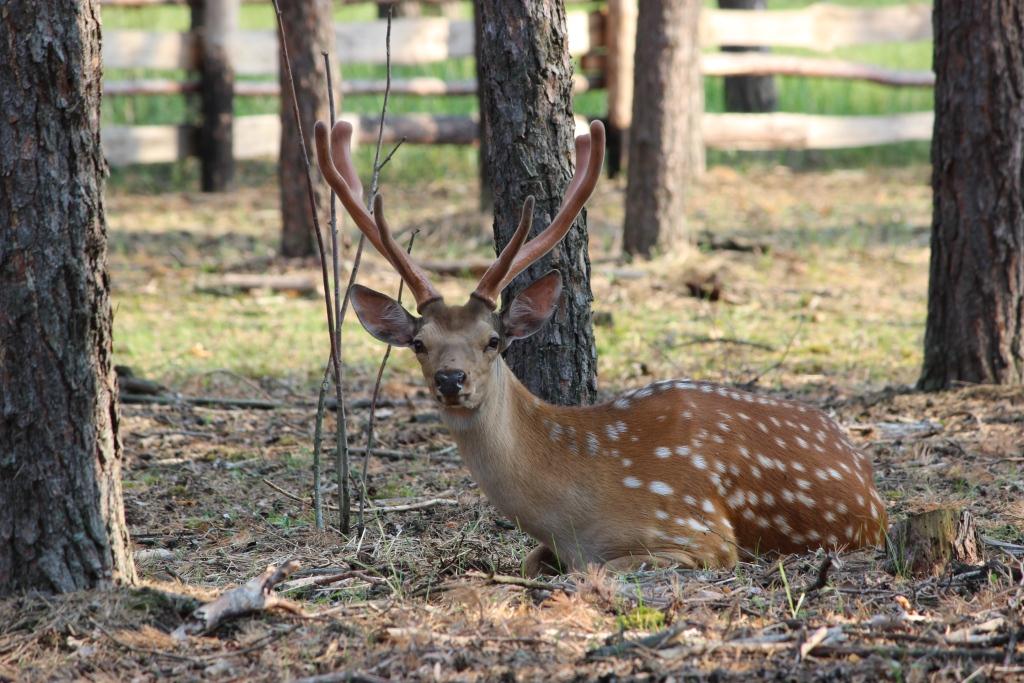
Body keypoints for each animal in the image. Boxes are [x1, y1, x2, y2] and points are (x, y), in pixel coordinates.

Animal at [313, 118, 888, 577]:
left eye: (493, 341)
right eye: (418, 343)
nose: (451, 379)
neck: (571, 517)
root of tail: (866, 469)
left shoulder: (696, 531)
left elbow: (598, 569)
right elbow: (532, 561)